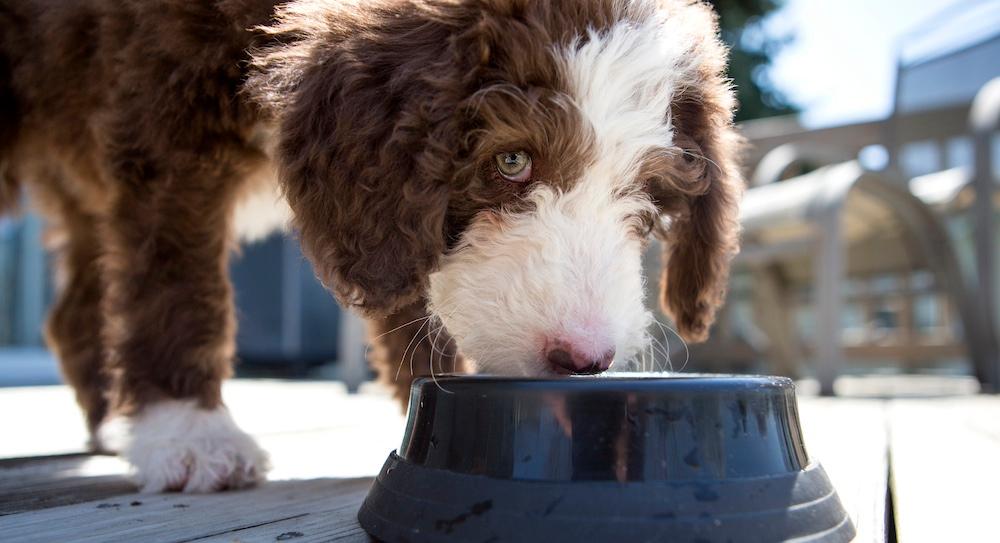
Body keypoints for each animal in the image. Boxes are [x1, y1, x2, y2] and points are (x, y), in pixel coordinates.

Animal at [0, 0, 744, 492]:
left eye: (643, 194)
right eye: (511, 161)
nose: (584, 359)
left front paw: (436, 396)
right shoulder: (168, 113)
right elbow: (176, 276)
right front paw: (188, 431)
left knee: (76, 305)